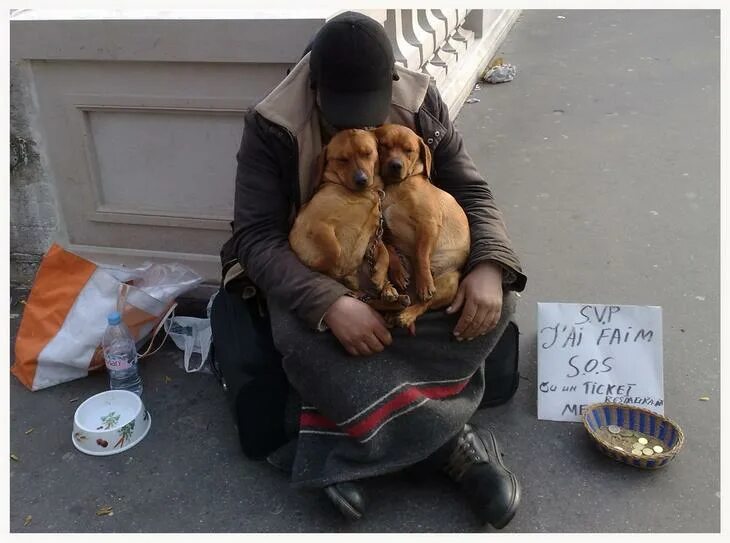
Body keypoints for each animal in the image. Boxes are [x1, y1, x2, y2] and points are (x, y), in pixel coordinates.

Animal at [288, 127, 404, 306]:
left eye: (367, 153)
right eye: (342, 159)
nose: (361, 179)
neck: (362, 195)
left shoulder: (373, 238)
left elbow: (384, 254)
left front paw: (379, 277)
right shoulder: (312, 224)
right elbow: (334, 251)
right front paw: (328, 270)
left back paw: (387, 289)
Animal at [372, 123, 470, 328]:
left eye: (409, 150)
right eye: (383, 145)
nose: (396, 165)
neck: (396, 188)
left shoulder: (428, 223)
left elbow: (421, 254)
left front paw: (424, 282)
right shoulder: (384, 232)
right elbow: (390, 250)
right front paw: (398, 272)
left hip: (450, 282)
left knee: (424, 304)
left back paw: (407, 314)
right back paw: (391, 298)